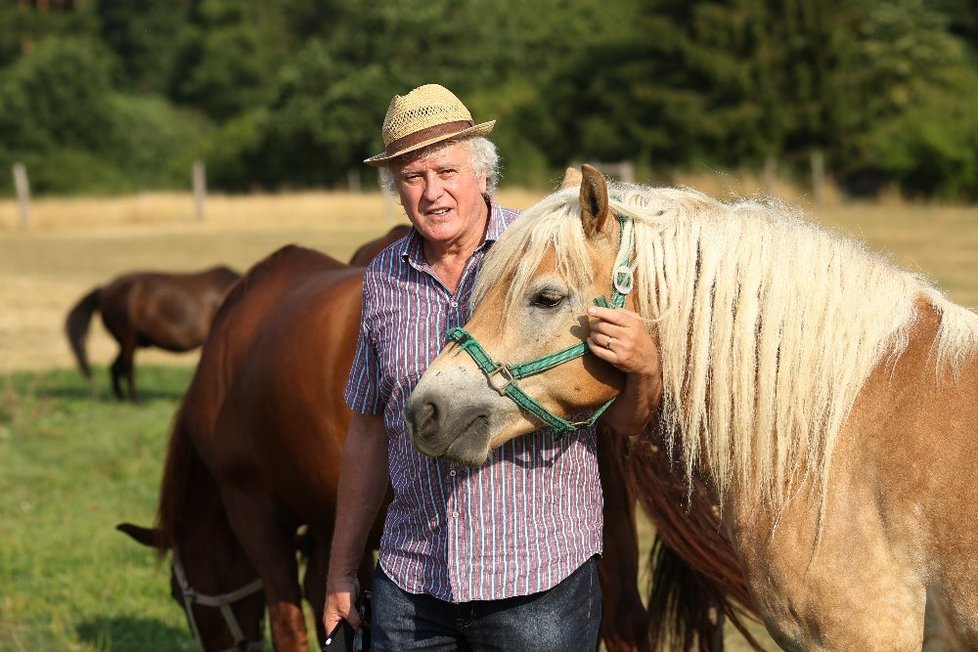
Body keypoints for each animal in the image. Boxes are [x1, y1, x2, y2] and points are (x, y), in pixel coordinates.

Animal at [65, 266, 240, 400]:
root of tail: (104, 291)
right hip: (129, 339)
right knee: (128, 368)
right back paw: (135, 399)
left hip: (126, 341)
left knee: (115, 367)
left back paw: (119, 398)